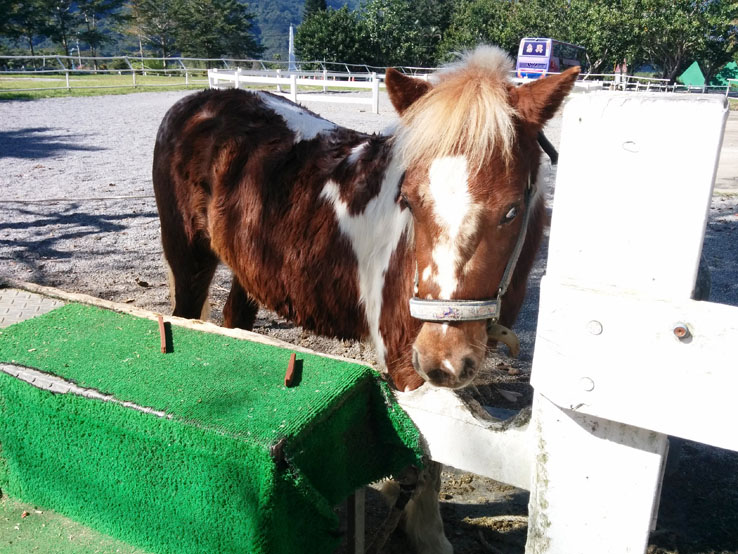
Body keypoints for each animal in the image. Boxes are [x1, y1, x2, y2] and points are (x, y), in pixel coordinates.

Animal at [153, 45, 578, 552]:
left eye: (511, 211)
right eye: (409, 201)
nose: (441, 357)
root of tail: (196, 103)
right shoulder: (403, 360)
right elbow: (426, 458)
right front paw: (424, 530)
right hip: (189, 258)